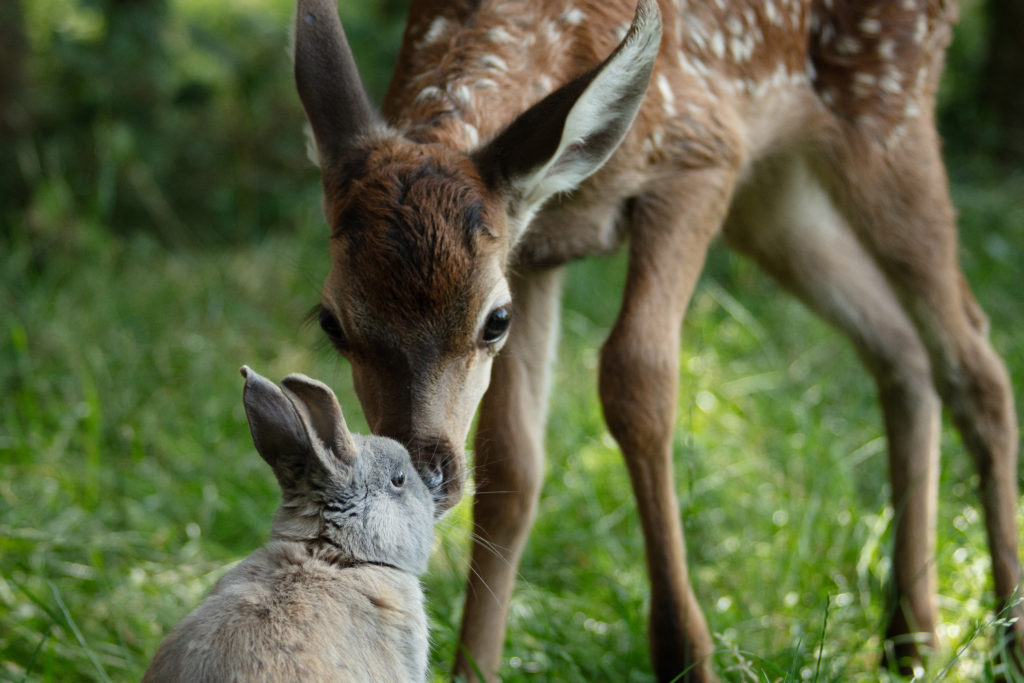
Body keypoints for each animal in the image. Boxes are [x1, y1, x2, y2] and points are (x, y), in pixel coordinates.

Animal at [292, 0, 1019, 679]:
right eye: (332, 321)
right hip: (776, 195)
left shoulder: (703, 155)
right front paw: (473, 668)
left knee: (975, 358)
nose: (421, 474)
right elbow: (513, 466)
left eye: (493, 319)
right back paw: (911, 636)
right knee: (900, 345)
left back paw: (1004, 633)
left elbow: (635, 380)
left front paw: (684, 655)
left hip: (887, 112)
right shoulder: (537, 252)